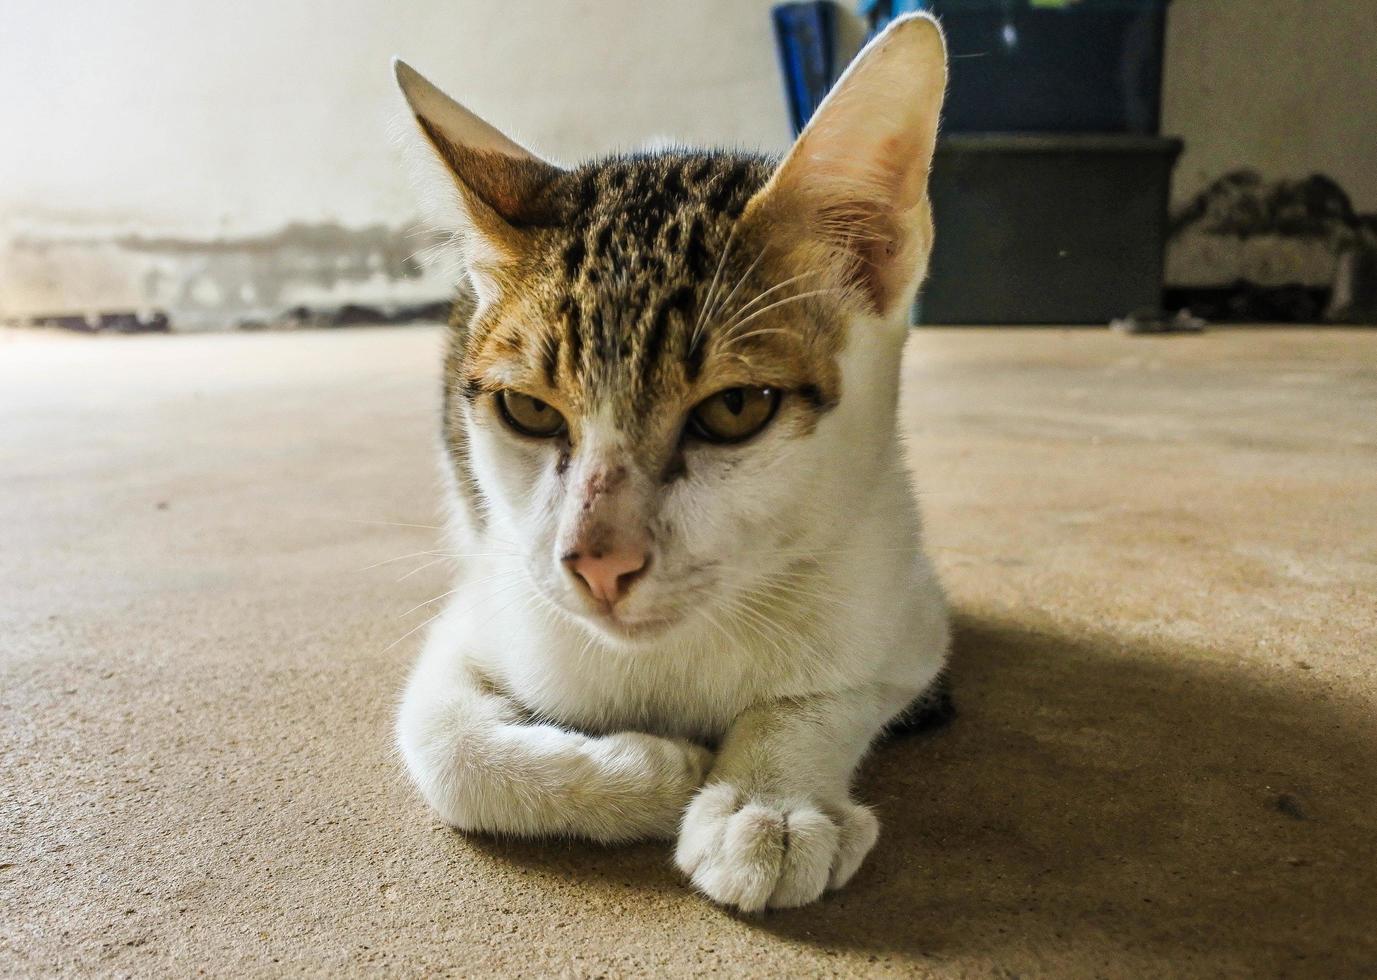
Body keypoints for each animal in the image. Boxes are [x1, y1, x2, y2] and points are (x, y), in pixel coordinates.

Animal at [388, 13, 947, 908]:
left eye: (734, 409)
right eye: (529, 411)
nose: (597, 563)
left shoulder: (907, 605)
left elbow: (840, 686)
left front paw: (767, 798)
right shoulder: (492, 598)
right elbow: (445, 749)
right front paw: (656, 773)